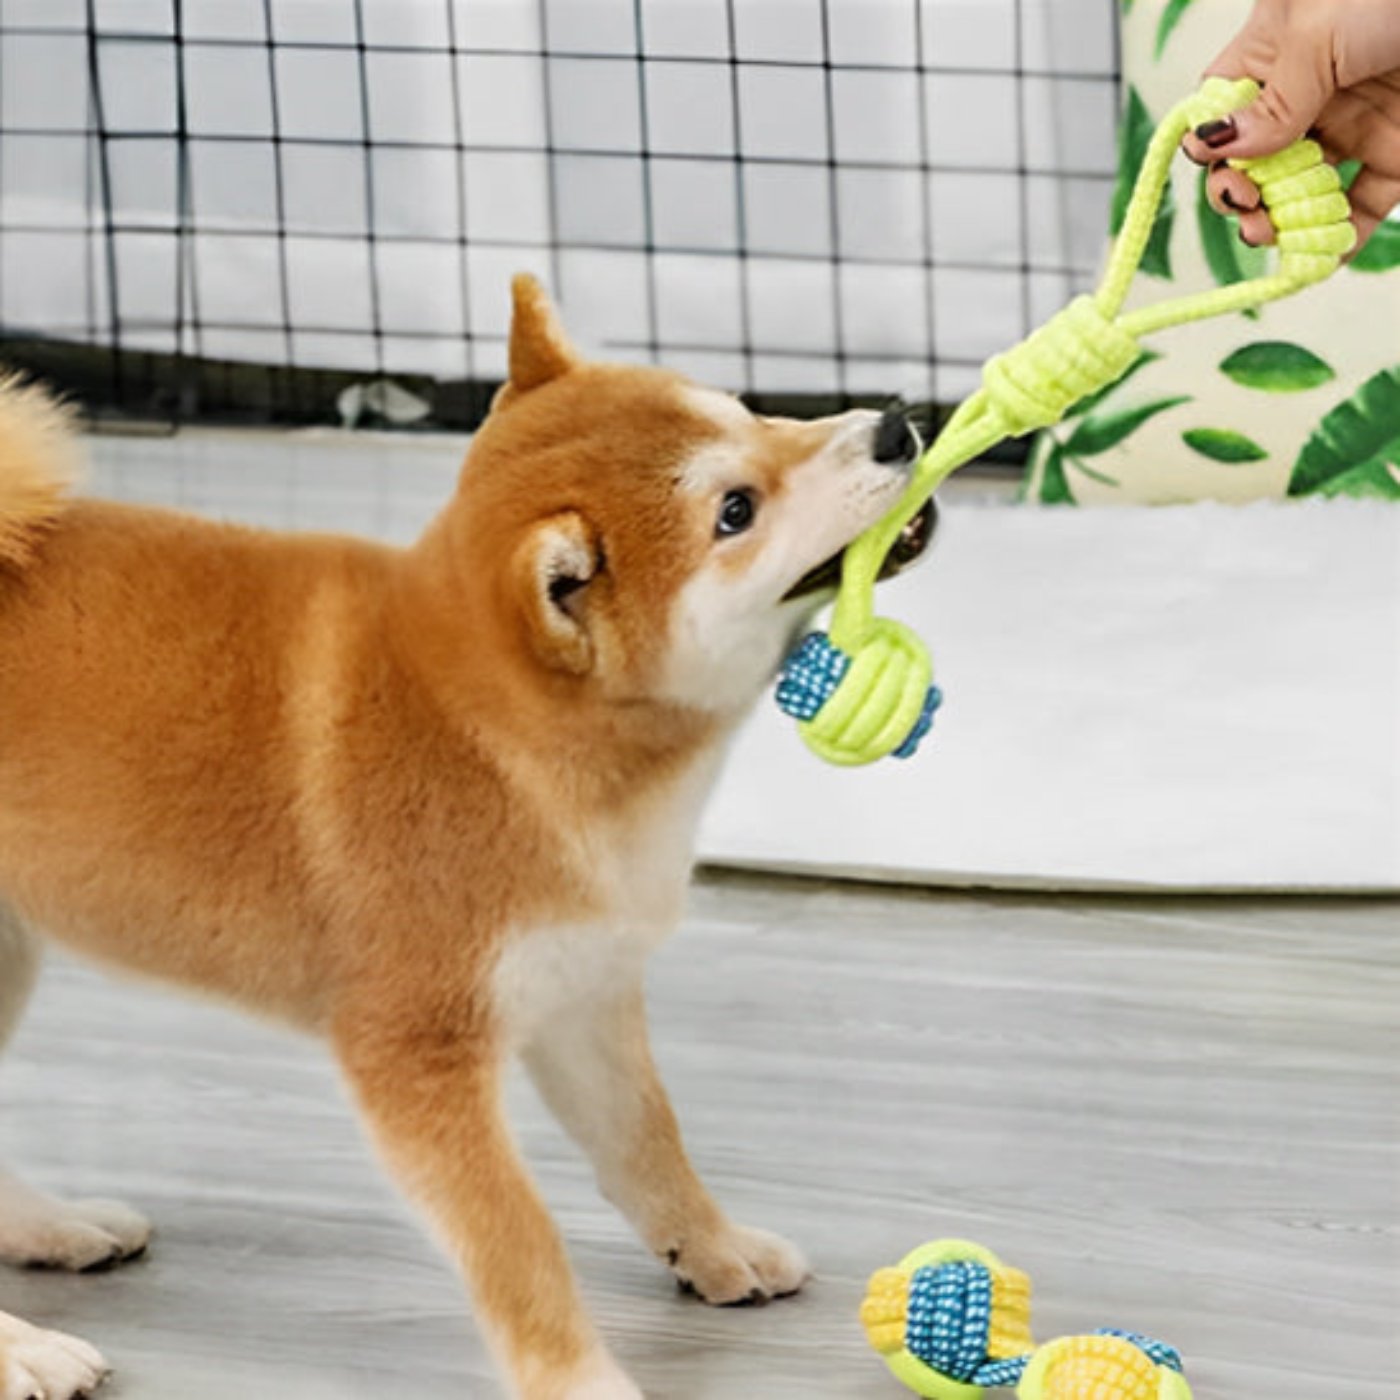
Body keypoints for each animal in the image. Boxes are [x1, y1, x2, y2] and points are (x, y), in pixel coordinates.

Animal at [2, 275, 940, 1400]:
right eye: (734, 511)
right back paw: (25, 1344)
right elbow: (515, 1238)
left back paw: (51, 1227)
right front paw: (579, 1378)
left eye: (748, 409)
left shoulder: (581, 994)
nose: (893, 425)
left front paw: (712, 1248)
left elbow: (646, 1142)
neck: (493, 731)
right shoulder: (417, 1054)